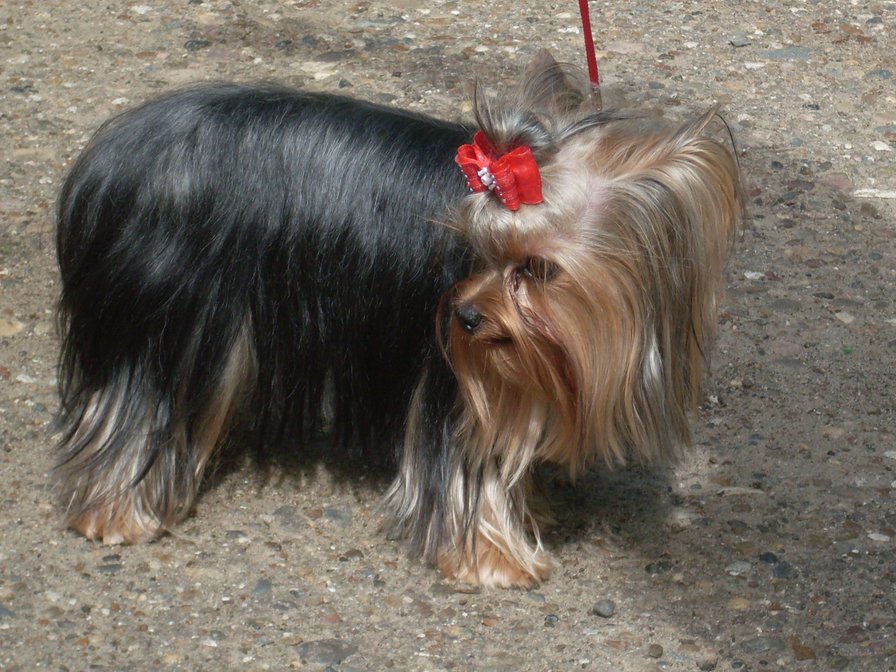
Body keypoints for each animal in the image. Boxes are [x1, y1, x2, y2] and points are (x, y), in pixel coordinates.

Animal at [54, 51, 740, 588]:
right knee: (137, 406)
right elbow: (465, 471)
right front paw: (494, 560)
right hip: (168, 318)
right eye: (474, 250)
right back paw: (117, 516)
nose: (466, 316)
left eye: (539, 269)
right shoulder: (456, 385)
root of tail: (109, 155)